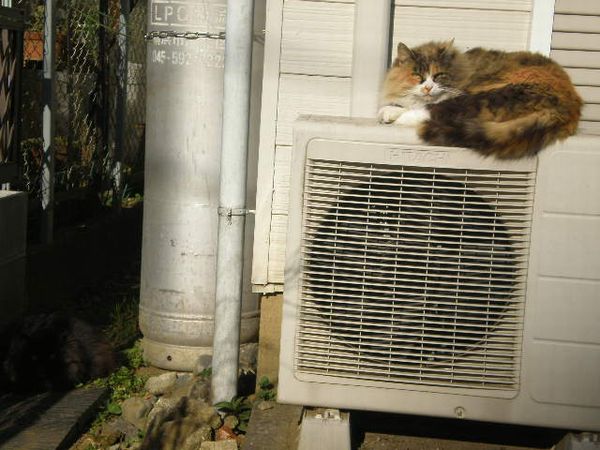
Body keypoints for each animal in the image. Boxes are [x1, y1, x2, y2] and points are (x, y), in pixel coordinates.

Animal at [378, 40, 582, 158]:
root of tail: (569, 105)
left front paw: (392, 113)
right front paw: (390, 110)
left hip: (490, 94)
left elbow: (427, 105)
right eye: (417, 75)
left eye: (438, 76)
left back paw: (402, 118)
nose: (428, 87)